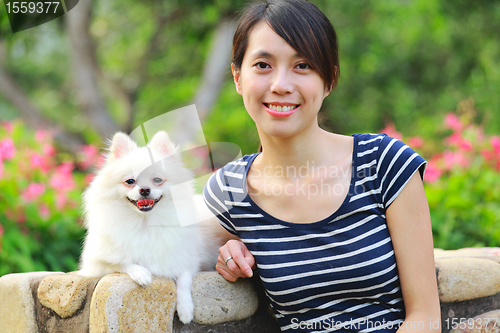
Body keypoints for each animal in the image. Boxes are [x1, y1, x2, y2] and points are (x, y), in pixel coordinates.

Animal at [79, 130, 224, 322]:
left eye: (157, 179)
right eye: (130, 181)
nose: (145, 189)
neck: (145, 223)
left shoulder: (189, 260)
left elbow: (184, 278)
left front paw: (185, 309)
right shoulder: (97, 264)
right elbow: (122, 263)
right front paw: (141, 273)